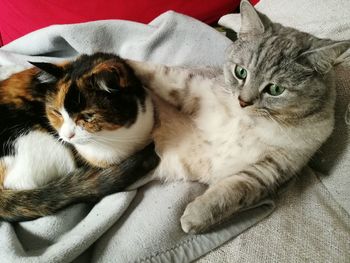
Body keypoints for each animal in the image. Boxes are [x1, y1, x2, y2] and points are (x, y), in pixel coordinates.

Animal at [126, 0, 350, 235]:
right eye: (240, 72)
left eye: (276, 89)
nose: (243, 101)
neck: (248, 121)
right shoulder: (198, 90)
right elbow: (165, 75)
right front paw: (118, 63)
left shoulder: (272, 167)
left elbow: (233, 190)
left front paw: (195, 217)